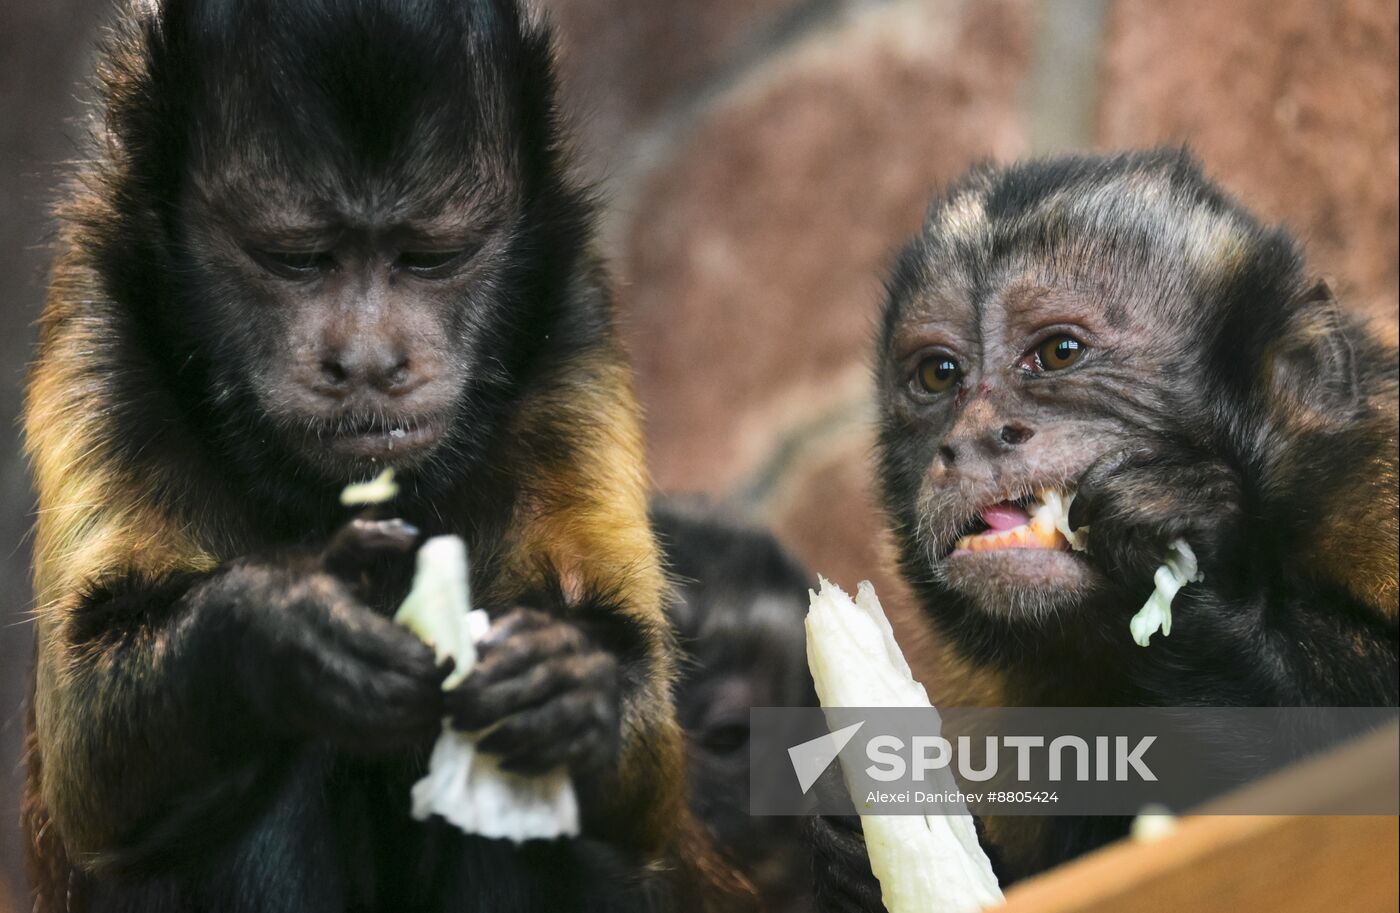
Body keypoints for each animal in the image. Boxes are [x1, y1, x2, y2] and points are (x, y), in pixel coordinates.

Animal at [21, 1, 744, 913]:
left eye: (429, 258)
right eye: (296, 259)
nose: (367, 361)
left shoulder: (574, 321)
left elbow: (646, 773)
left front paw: (571, 685)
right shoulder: (101, 325)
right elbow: (90, 756)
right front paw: (280, 629)